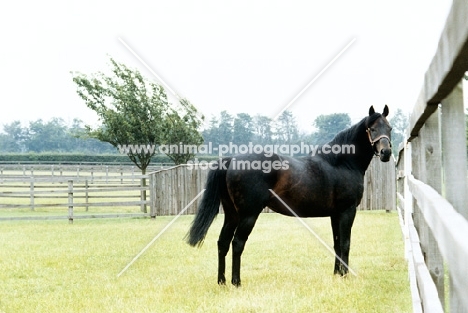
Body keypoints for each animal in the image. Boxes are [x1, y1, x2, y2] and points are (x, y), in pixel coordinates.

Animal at [186, 105, 392, 286]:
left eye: (389, 128)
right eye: (372, 128)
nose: (386, 152)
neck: (341, 163)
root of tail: (232, 160)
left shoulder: (336, 214)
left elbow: (337, 244)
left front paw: (337, 274)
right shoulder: (347, 211)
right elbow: (346, 243)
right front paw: (345, 275)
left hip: (232, 215)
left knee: (223, 242)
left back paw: (221, 282)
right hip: (248, 215)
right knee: (237, 243)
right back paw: (236, 282)